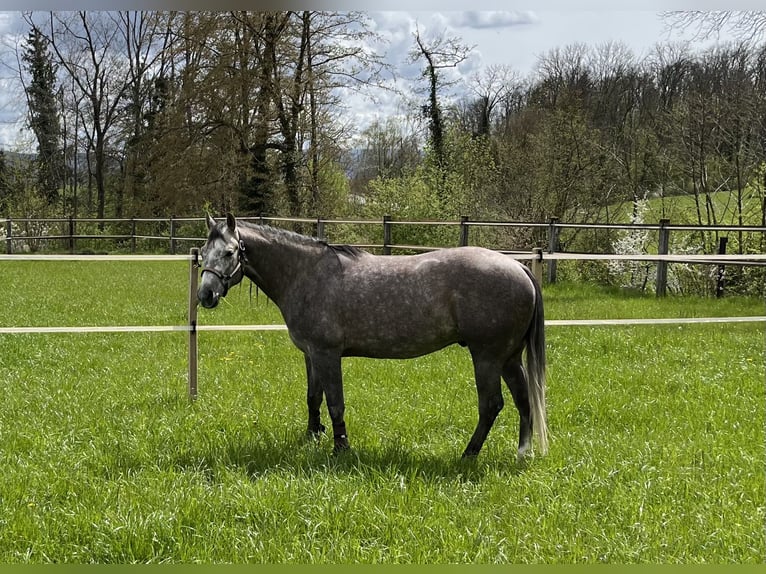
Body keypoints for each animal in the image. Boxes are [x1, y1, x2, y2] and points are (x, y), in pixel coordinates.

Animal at [196, 214, 544, 462]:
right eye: (201, 252)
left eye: (230, 252)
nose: (205, 295)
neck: (307, 274)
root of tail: (518, 267)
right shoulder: (311, 355)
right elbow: (313, 398)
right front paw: (313, 436)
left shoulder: (327, 354)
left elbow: (335, 403)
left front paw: (341, 449)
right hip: (508, 358)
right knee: (523, 400)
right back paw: (522, 454)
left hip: (487, 357)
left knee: (491, 405)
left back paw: (468, 454)